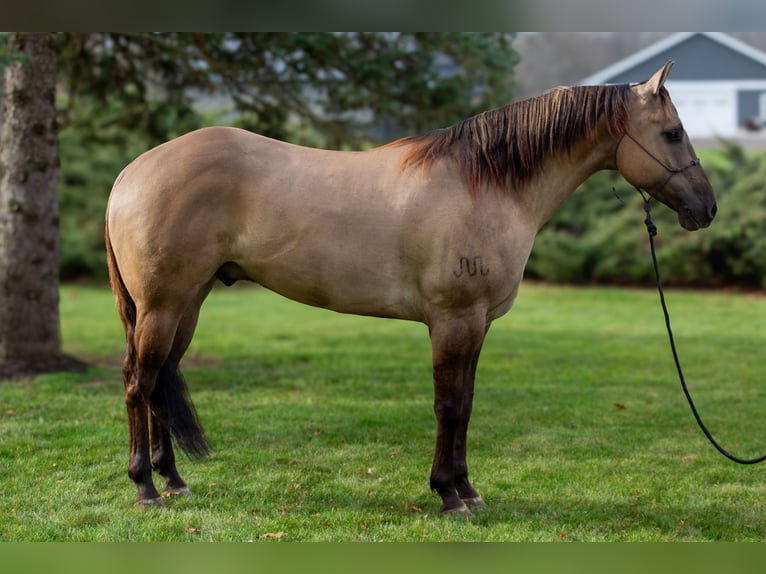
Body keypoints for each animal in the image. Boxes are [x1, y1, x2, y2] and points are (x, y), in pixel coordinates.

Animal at [105, 61, 716, 515]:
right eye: (672, 132)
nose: (707, 208)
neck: (484, 182)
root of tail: (130, 172)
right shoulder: (453, 320)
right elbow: (448, 404)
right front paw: (448, 494)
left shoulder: (477, 324)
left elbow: (466, 404)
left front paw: (467, 489)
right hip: (162, 307)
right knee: (139, 383)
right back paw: (145, 489)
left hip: (187, 304)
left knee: (160, 381)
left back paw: (174, 481)